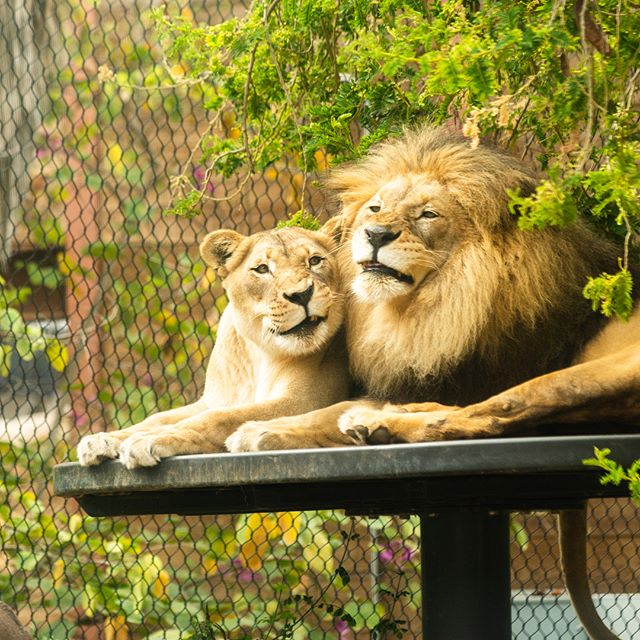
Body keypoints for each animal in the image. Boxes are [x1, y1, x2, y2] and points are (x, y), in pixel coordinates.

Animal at [79, 228, 356, 468]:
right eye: (262, 269)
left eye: (315, 260)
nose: (302, 294)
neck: (259, 354)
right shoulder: (213, 400)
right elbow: (158, 417)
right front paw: (104, 439)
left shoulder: (305, 400)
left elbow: (219, 419)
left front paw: (149, 439)